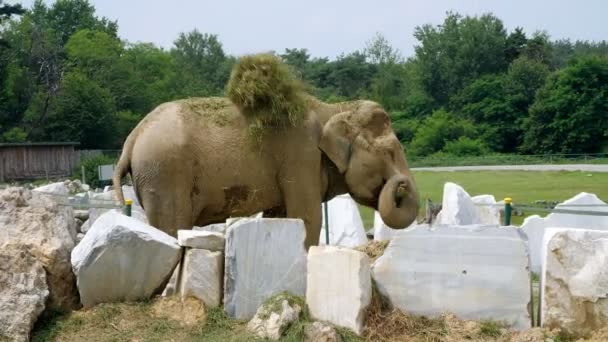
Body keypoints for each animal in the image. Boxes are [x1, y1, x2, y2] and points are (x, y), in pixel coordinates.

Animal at [114, 96, 418, 248]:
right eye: (391, 152)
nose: (402, 184)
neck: (333, 109)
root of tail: (132, 138)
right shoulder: (301, 157)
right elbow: (307, 216)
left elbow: (282, 217)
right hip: (165, 175)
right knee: (171, 225)